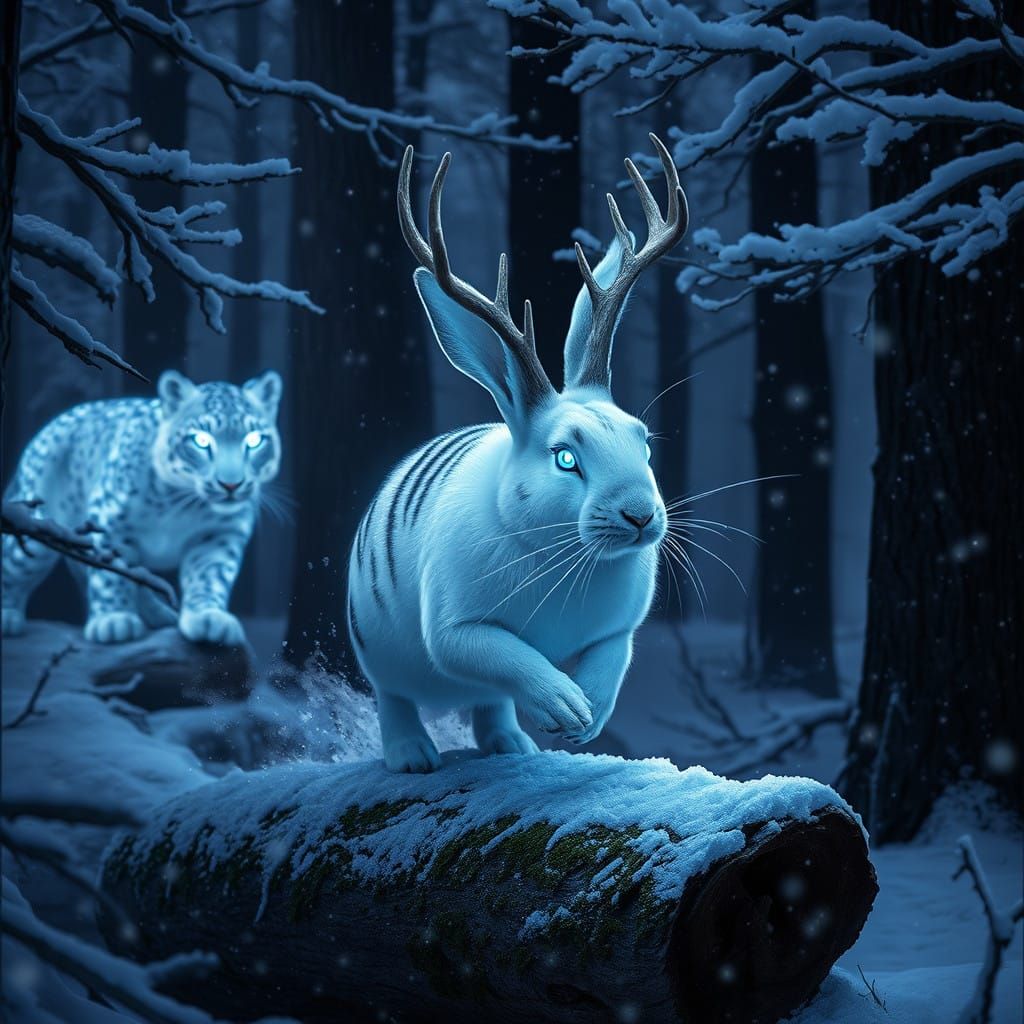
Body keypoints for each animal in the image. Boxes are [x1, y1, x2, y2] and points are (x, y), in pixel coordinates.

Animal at [348, 134, 688, 772]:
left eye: (644, 441)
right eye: (564, 458)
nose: (641, 516)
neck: (569, 554)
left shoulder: (621, 629)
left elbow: (613, 657)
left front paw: (587, 716)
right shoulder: (455, 629)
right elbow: (502, 653)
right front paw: (564, 705)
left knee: (488, 704)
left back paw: (511, 745)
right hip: (377, 649)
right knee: (396, 696)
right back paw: (414, 756)